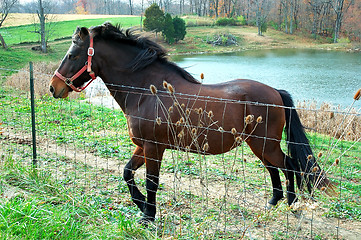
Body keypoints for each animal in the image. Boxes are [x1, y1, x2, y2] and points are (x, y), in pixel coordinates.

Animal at [49, 23, 334, 223]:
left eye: (72, 55)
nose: (54, 88)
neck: (147, 91)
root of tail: (276, 91)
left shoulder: (154, 148)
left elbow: (151, 182)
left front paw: (148, 216)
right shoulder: (142, 146)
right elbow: (127, 173)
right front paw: (141, 205)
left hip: (266, 144)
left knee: (289, 166)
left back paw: (291, 204)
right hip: (259, 144)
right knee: (276, 169)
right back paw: (274, 202)